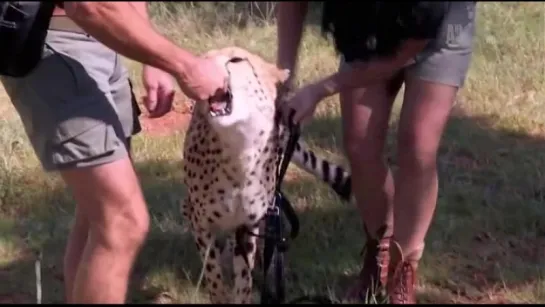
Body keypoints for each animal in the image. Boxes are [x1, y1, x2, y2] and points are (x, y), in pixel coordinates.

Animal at [182, 47, 352, 304]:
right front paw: (220, 291)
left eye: (236, 59)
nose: (202, 70)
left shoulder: (247, 224)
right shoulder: (202, 225)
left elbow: (244, 278)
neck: (238, 149)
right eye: (204, 58)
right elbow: (213, 275)